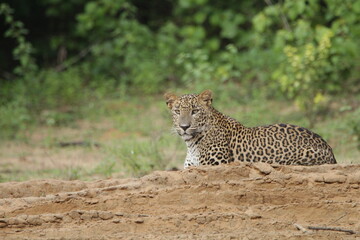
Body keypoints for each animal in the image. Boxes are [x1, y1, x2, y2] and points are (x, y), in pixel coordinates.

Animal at [165, 90, 336, 169]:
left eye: (195, 111)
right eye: (177, 111)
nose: (184, 127)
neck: (192, 144)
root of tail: (329, 149)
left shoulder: (215, 165)